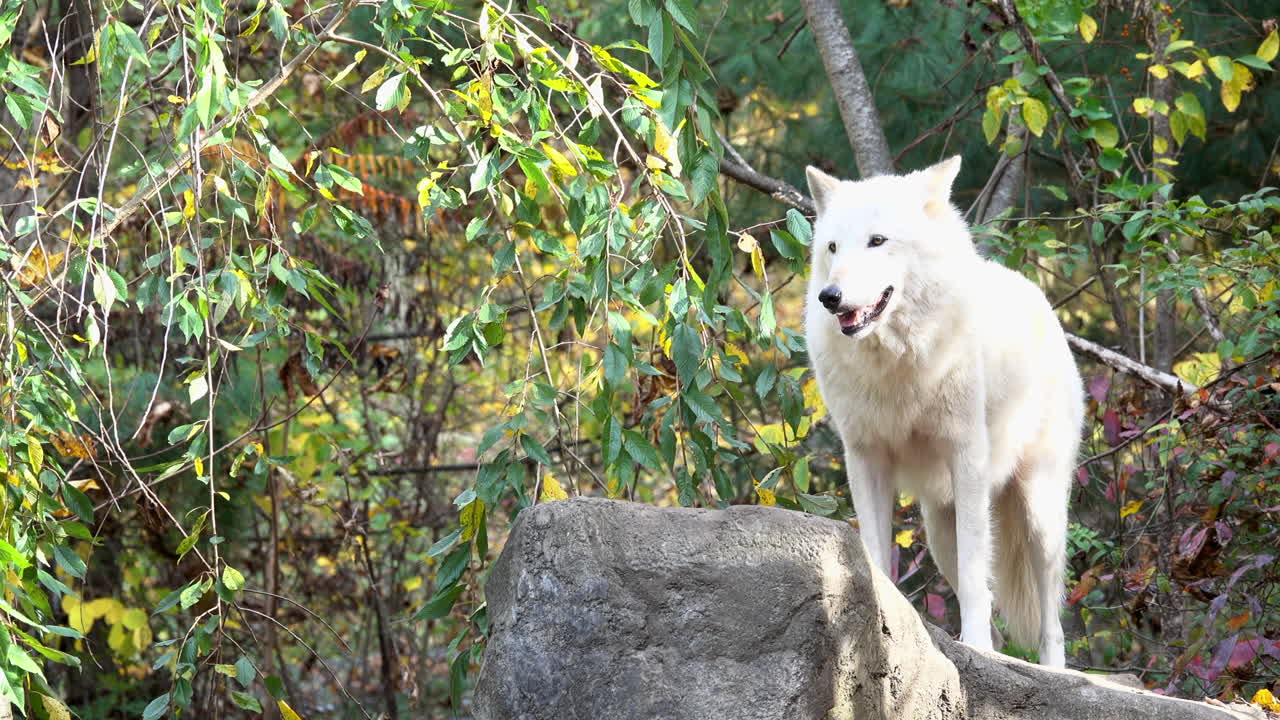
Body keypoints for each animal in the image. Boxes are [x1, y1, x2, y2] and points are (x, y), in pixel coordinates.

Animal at [803, 157, 1083, 667]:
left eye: (877, 241)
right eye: (832, 247)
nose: (829, 297)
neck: (897, 364)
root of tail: (1037, 296)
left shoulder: (966, 455)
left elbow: (976, 575)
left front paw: (975, 647)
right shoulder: (865, 457)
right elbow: (875, 554)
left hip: (1039, 514)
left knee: (1050, 620)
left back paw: (1049, 669)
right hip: (938, 530)